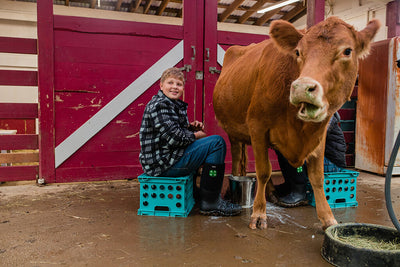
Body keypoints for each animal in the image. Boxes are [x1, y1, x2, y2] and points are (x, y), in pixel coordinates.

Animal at [214, 16, 380, 230]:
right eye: (298, 52)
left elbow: (317, 176)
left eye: (347, 51)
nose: (302, 88)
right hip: (233, 131)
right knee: (238, 161)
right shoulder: (258, 126)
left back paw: (273, 192)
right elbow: (263, 171)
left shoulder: (319, 132)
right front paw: (258, 213)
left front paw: (327, 217)